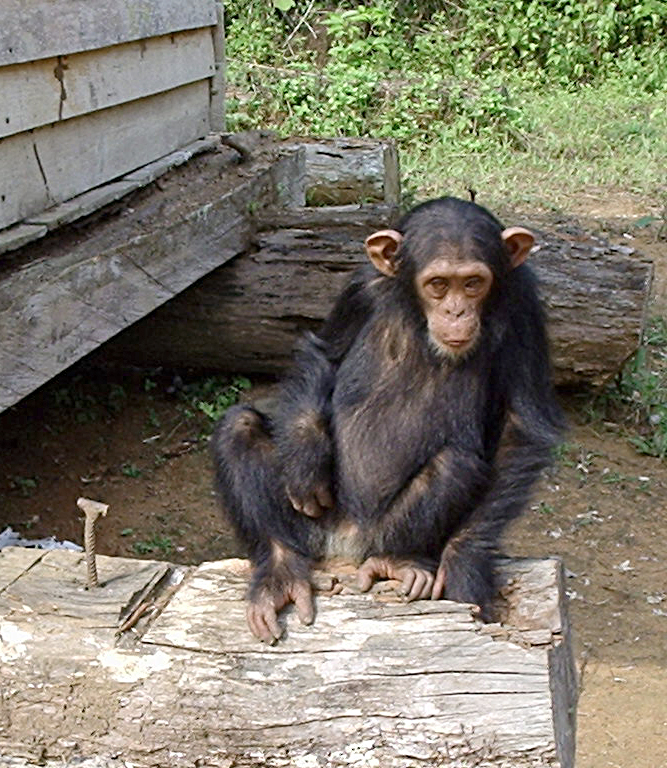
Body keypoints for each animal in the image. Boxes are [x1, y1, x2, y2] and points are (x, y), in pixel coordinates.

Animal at [213, 195, 564, 640]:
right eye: (438, 284)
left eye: (473, 283)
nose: (456, 311)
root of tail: (345, 545)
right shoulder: (359, 288)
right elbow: (326, 353)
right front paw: (307, 460)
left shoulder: (524, 307)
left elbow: (521, 428)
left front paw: (464, 561)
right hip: (312, 529)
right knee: (237, 428)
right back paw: (280, 570)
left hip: (380, 533)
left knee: (456, 465)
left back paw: (400, 562)